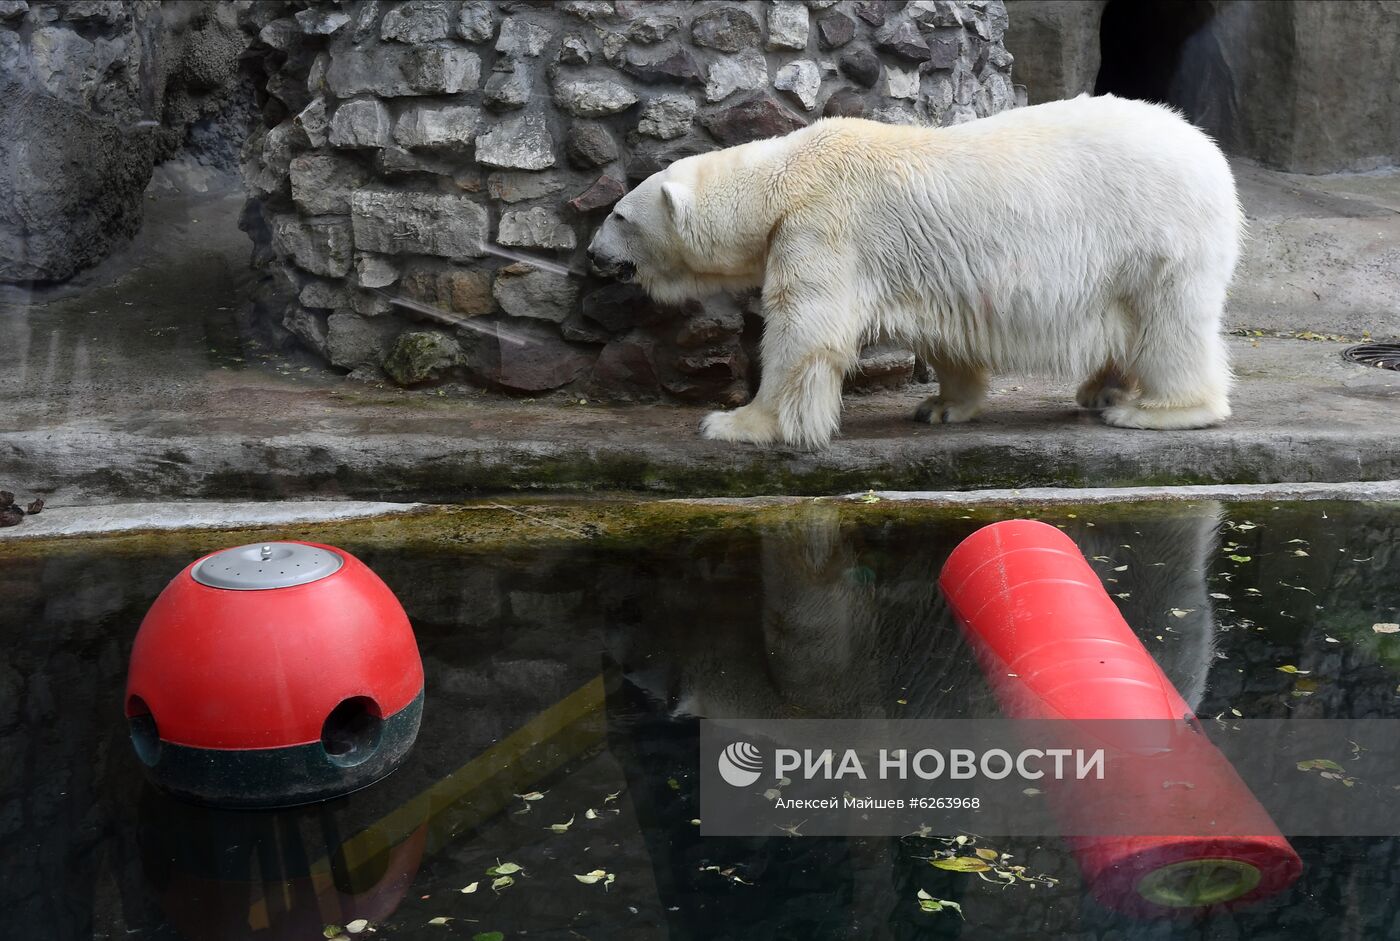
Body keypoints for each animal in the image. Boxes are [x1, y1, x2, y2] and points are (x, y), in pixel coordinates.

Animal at [585, 95, 1243, 448]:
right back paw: (1101, 387)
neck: (786, 175)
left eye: (618, 214)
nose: (592, 254)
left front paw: (736, 422)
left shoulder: (822, 225)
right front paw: (940, 406)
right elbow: (945, 332)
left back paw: (1154, 410)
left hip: (1156, 236)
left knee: (1170, 323)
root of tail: (1209, 151)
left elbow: (803, 331)